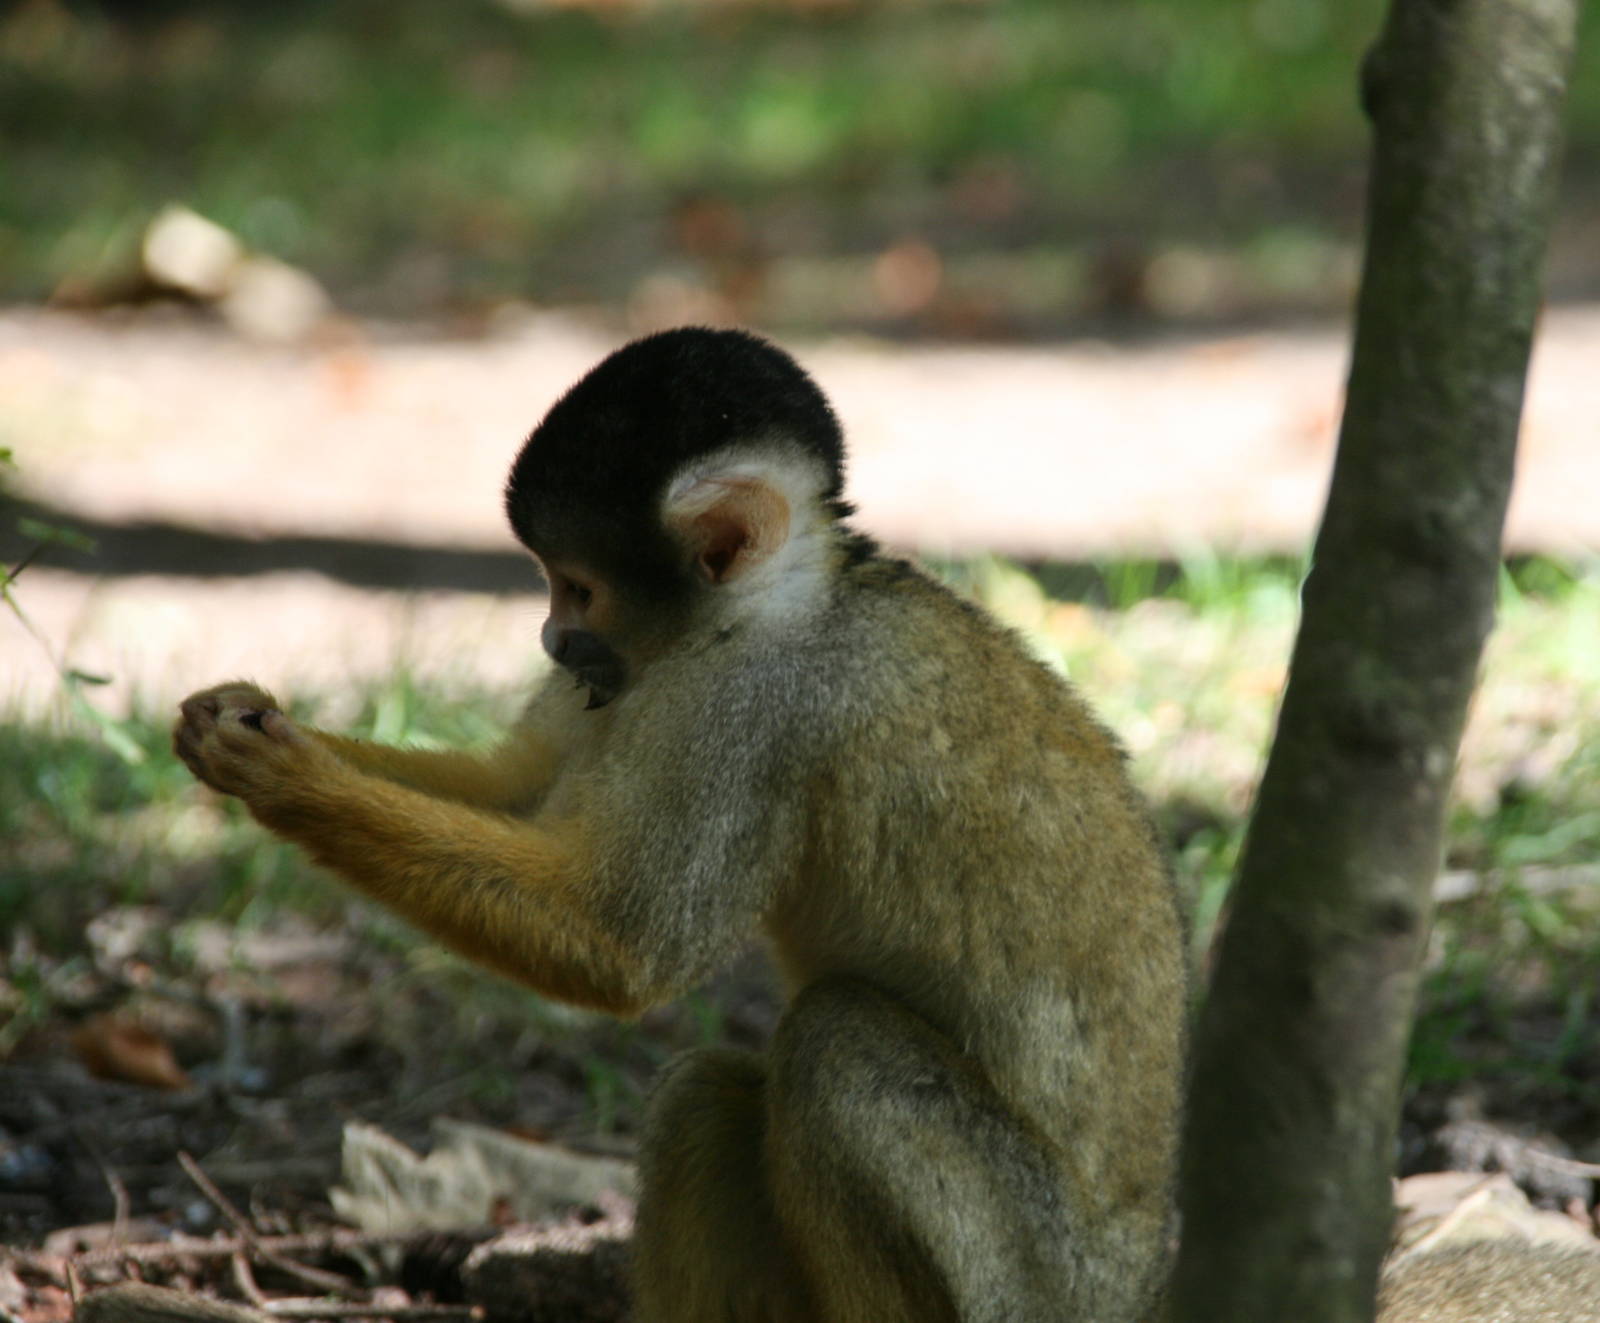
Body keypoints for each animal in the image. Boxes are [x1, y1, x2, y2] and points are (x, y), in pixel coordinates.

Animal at [174, 327, 1187, 1323]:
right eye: (551, 586)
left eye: (578, 587)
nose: (550, 641)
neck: (779, 600)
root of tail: (1141, 1278)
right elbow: (521, 795)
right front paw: (247, 722)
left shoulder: (751, 707)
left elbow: (629, 942)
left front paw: (288, 776)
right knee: (711, 1090)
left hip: (1030, 1280)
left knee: (837, 1050)